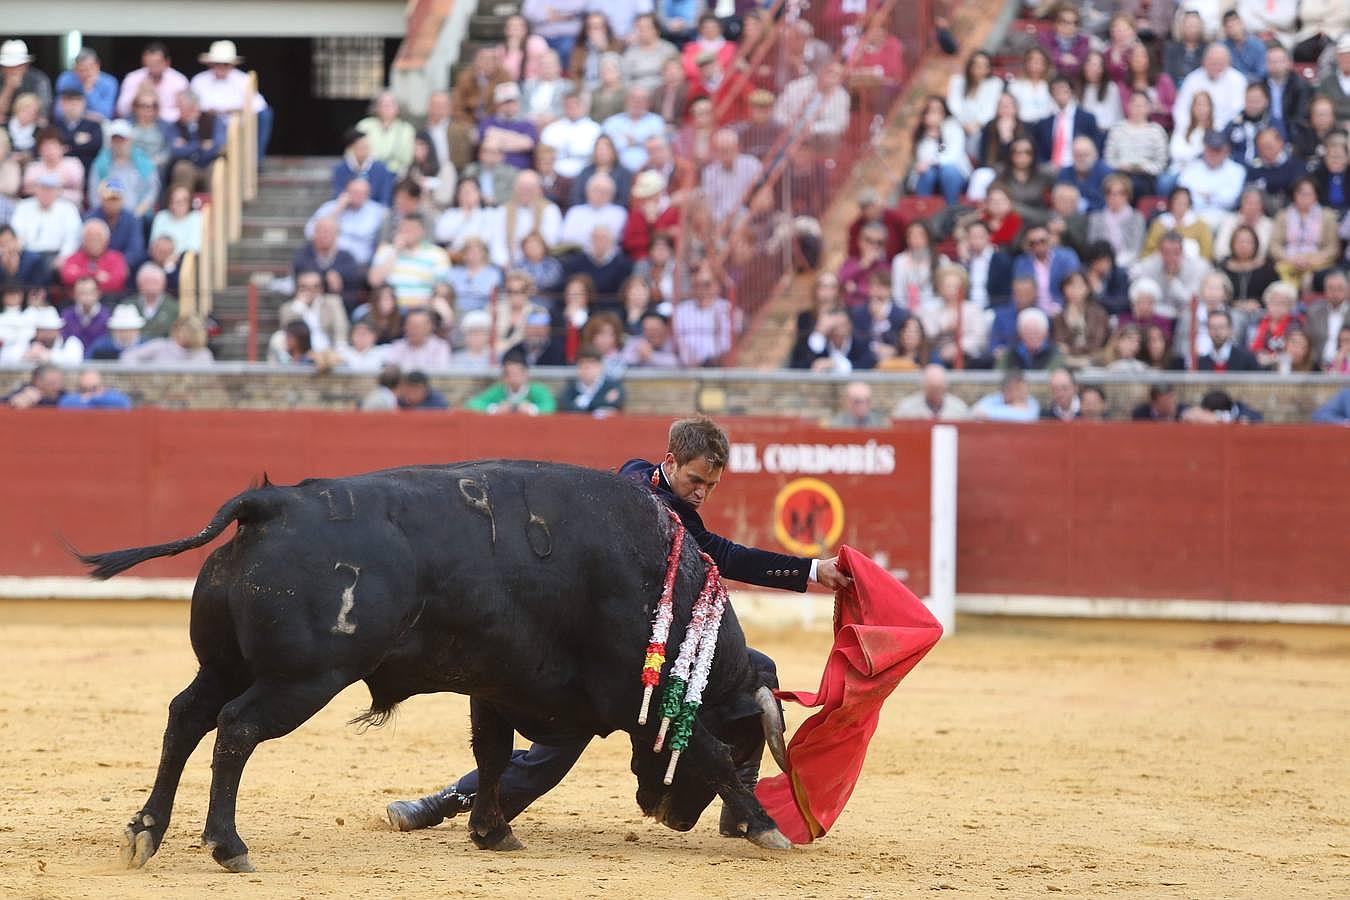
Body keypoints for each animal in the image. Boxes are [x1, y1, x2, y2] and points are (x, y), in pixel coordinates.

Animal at [76, 464, 788, 874]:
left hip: (225, 665)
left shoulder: (497, 686)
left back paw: (145, 831)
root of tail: (269, 506)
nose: (677, 819)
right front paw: (767, 827)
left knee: (186, 717)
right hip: (300, 680)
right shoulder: (628, 693)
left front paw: (492, 832)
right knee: (236, 729)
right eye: (748, 742)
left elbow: (494, 755)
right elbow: (705, 751)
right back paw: (228, 845)